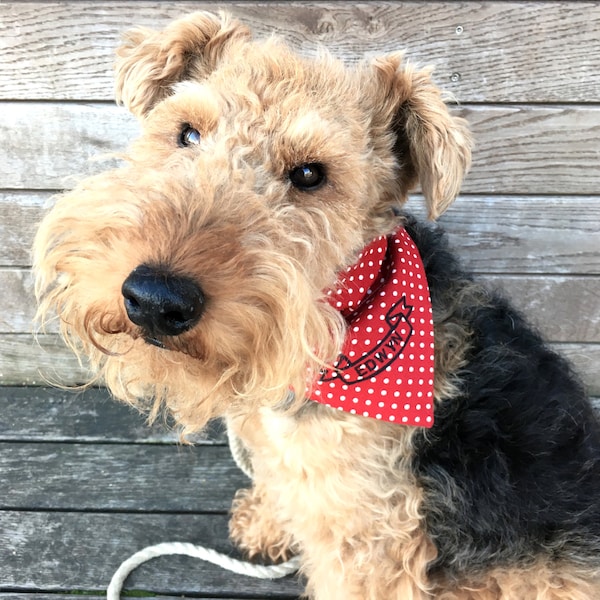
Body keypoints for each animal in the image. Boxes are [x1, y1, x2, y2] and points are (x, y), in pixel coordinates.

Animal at [31, 10, 600, 600]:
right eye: (187, 132)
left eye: (310, 174)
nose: (155, 299)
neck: (342, 326)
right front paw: (263, 523)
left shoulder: (370, 541)